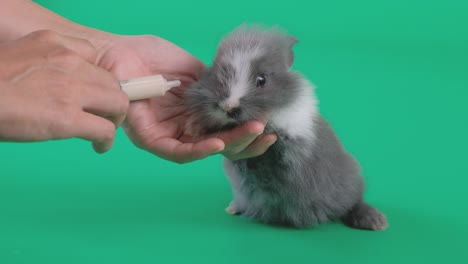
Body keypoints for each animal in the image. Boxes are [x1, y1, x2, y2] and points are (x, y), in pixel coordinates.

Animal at [183, 25, 388, 230]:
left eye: (262, 79)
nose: (229, 107)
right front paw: (192, 127)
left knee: (353, 202)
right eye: (217, 74)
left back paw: (377, 222)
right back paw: (233, 208)